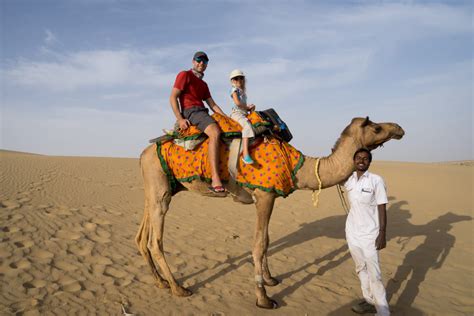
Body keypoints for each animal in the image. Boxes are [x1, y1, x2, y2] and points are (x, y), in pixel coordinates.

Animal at [135, 116, 406, 308]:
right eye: (376, 128)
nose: (399, 128)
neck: (296, 166)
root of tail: (142, 154)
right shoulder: (264, 196)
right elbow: (259, 244)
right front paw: (263, 297)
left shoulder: (271, 196)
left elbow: (266, 239)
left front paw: (270, 279)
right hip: (159, 185)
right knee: (155, 241)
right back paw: (178, 288)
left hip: (159, 187)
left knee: (141, 236)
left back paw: (160, 281)